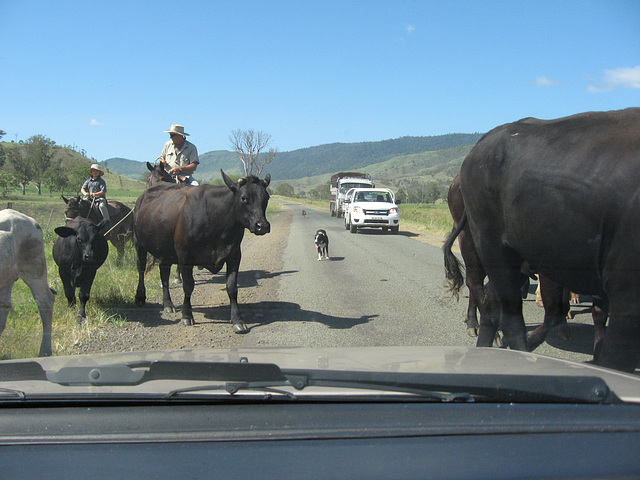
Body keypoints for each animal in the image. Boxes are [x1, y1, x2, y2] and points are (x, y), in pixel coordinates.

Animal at [134, 169, 272, 334]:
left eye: (266, 197)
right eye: (244, 198)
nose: (262, 225)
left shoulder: (234, 255)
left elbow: (232, 287)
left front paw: (238, 320)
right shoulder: (185, 257)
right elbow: (188, 286)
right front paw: (187, 316)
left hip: (165, 250)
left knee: (164, 272)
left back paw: (168, 304)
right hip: (139, 243)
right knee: (141, 269)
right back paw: (140, 297)